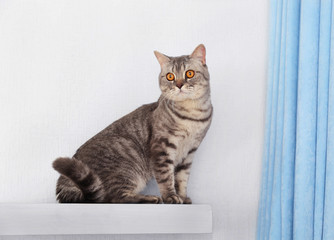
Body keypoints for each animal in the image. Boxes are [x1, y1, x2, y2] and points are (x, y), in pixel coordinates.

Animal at [53, 44, 213, 203]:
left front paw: (183, 197)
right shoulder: (162, 149)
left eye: (190, 73)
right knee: (114, 198)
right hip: (127, 163)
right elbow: (166, 178)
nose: (179, 85)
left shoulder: (189, 153)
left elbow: (182, 179)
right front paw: (170, 196)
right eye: (170, 76)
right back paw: (150, 198)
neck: (192, 114)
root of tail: (64, 182)